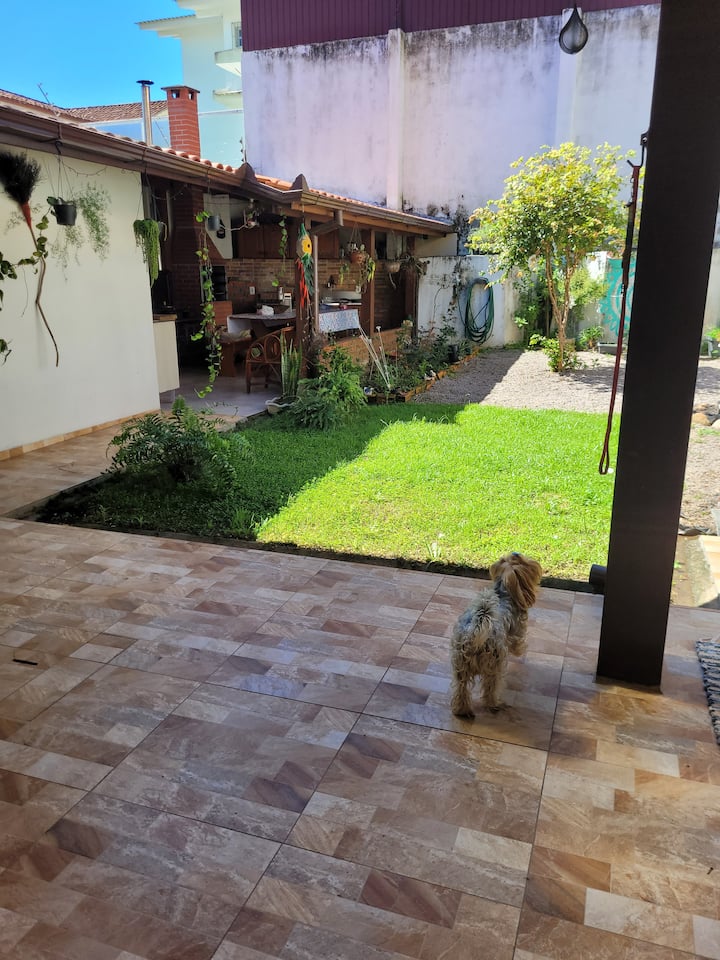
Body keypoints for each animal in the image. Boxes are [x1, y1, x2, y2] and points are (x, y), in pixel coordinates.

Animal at [450, 553, 542, 716]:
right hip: (494, 665)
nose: (515, 553)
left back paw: (462, 710)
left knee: (461, 688)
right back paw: (495, 704)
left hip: (460, 666)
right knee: (491, 688)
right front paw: (522, 651)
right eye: (525, 562)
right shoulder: (517, 632)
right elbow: (518, 647)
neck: (502, 592)